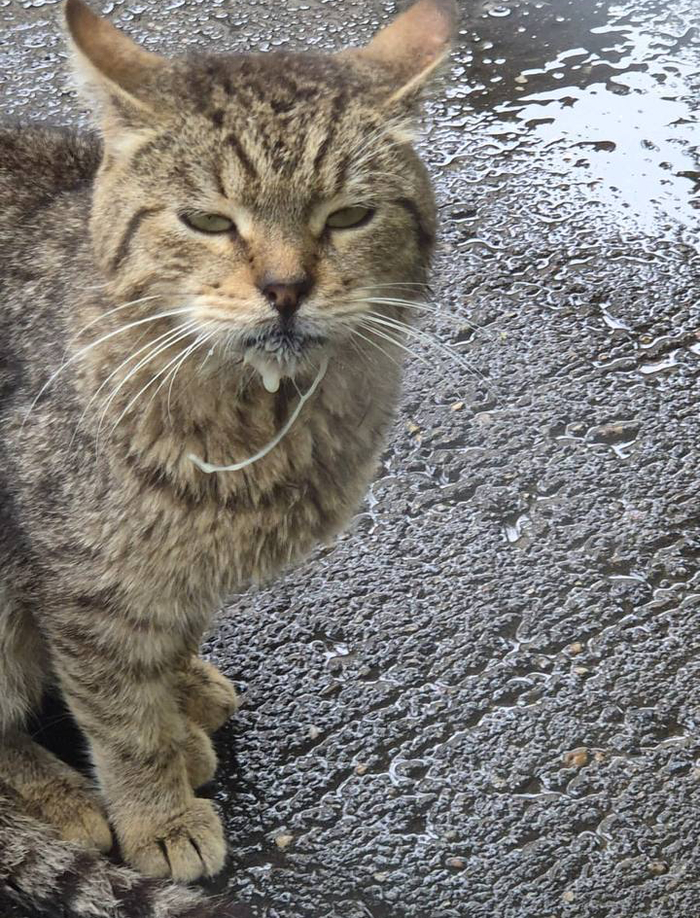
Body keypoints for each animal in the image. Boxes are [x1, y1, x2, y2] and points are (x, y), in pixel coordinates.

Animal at [0, 0, 457, 915]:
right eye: (208, 221)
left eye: (347, 217)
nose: (286, 288)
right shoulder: (80, 578)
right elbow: (120, 716)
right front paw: (158, 811)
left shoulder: (172, 564)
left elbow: (173, 635)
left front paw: (181, 706)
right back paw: (60, 797)